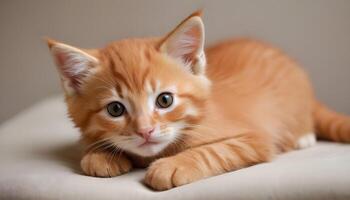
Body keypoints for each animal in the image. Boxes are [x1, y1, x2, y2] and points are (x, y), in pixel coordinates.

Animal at [46, 11, 350, 191]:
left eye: (164, 100)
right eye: (115, 109)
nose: (145, 131)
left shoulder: (255, 139)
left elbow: (214, 150)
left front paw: (174, 166)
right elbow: (91, 142)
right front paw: (100, 155)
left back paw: (303, 137)